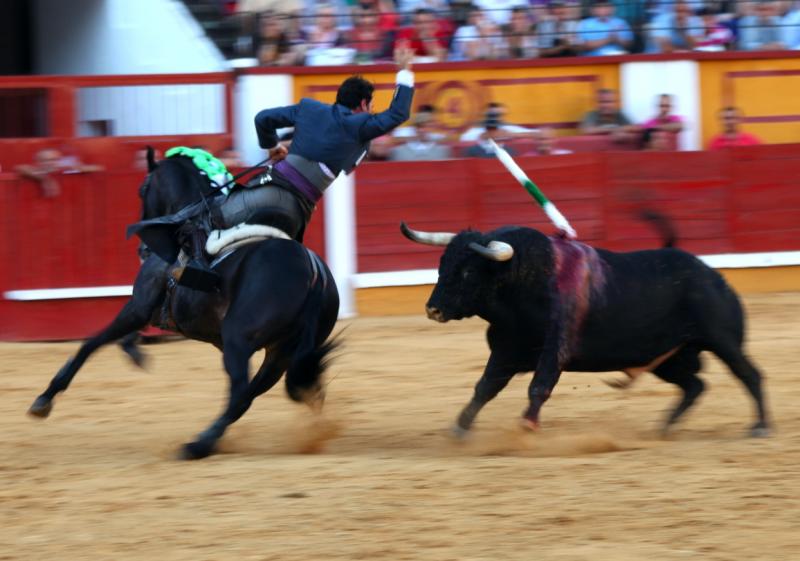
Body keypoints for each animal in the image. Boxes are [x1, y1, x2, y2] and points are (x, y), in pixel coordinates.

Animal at [28, 150, 340, 460]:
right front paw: (136, 352)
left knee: (240, 391)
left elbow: (91, 343)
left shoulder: (139, 306)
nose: (142, 249)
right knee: (252, 392)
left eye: (142, 189)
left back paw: (196, 446)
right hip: (280, 353)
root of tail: (314, 274)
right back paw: (208, 440)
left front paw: (44, 399)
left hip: (239, 339)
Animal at [404, 220, 772, 438]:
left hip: (723, 340)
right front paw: (460, 428)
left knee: (749, 374)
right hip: (668, 358)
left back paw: (760, 426)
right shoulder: (506, 350)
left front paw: (527, 425)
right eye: (442, 264)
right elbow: (484, 387)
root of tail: (715, 278)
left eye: (468, 272)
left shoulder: (556, 349)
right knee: (695, 385)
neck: (522, 285)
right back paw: (665, 427)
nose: (432, 309)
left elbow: (538, 387)